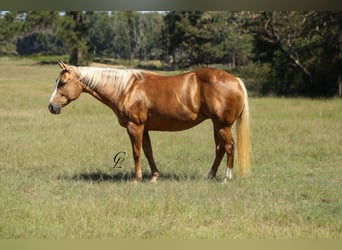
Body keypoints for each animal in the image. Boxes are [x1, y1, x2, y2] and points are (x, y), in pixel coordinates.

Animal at [48, 60, 251, 182]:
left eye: (63, 83)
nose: (51, 106)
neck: (126, 88)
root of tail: (236, 80)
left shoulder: (134, 127)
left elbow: (136, 152)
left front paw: (136, 179)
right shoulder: (144, 128)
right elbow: (148, 152)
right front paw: (154, 176)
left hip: (223, 125)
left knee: (229, 147)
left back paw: (226, 178)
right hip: (217, 125)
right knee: (220, 149)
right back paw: (210, 175)